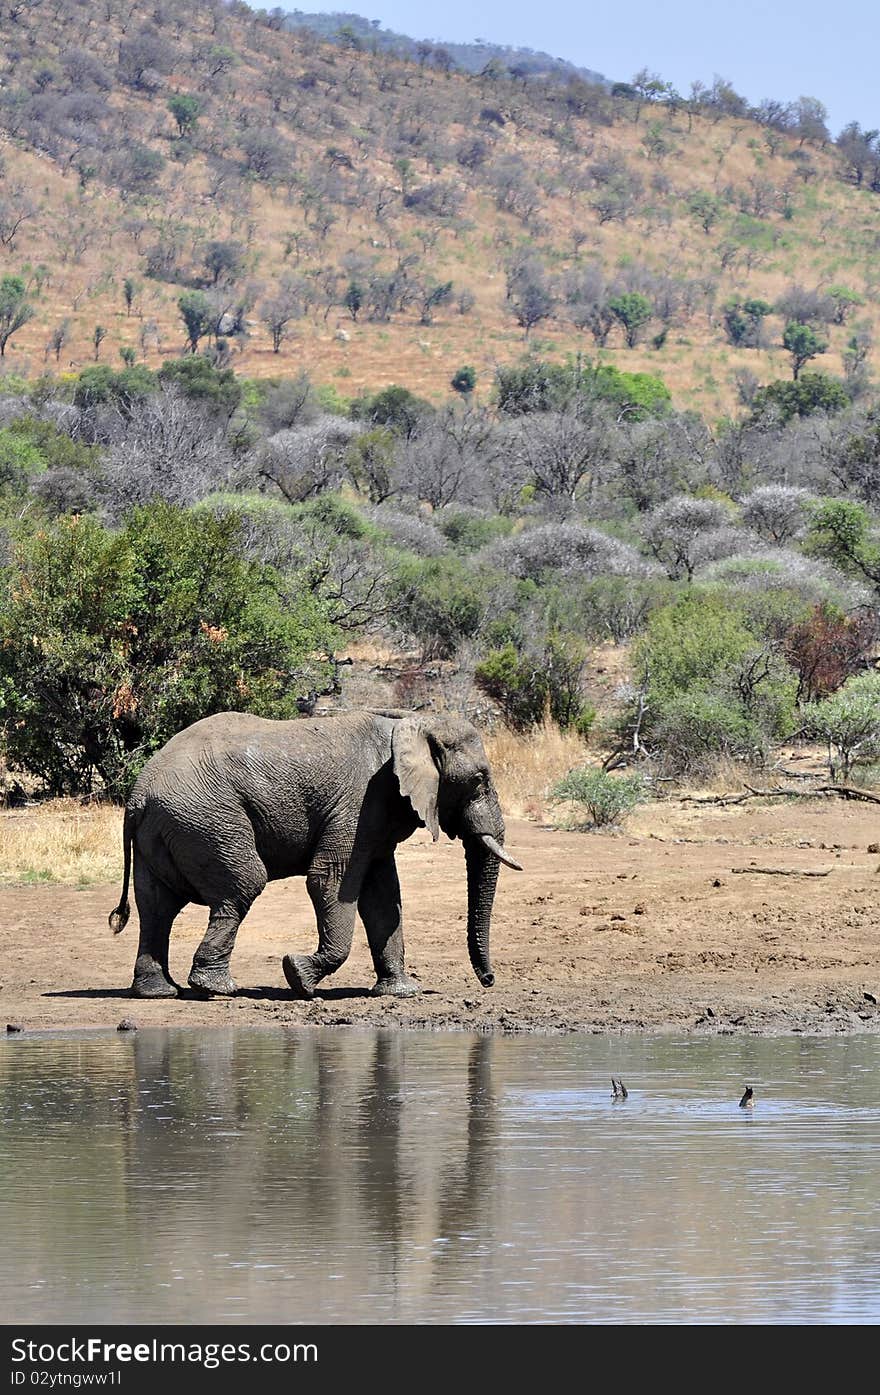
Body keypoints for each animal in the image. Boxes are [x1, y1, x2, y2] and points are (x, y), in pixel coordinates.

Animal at [109, 714, 524, 998]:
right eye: (479, 780)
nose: (488, 980)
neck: (406, 726)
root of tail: (137, 795)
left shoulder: (375, 817)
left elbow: (383, 896)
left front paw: (401, 993)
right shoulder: (358, 804)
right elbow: (331, 881)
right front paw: (298, 976)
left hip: (166, 827)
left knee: (157, 906)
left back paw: (159, 992)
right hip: (207, 818)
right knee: (243, 884)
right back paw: (217, 988)